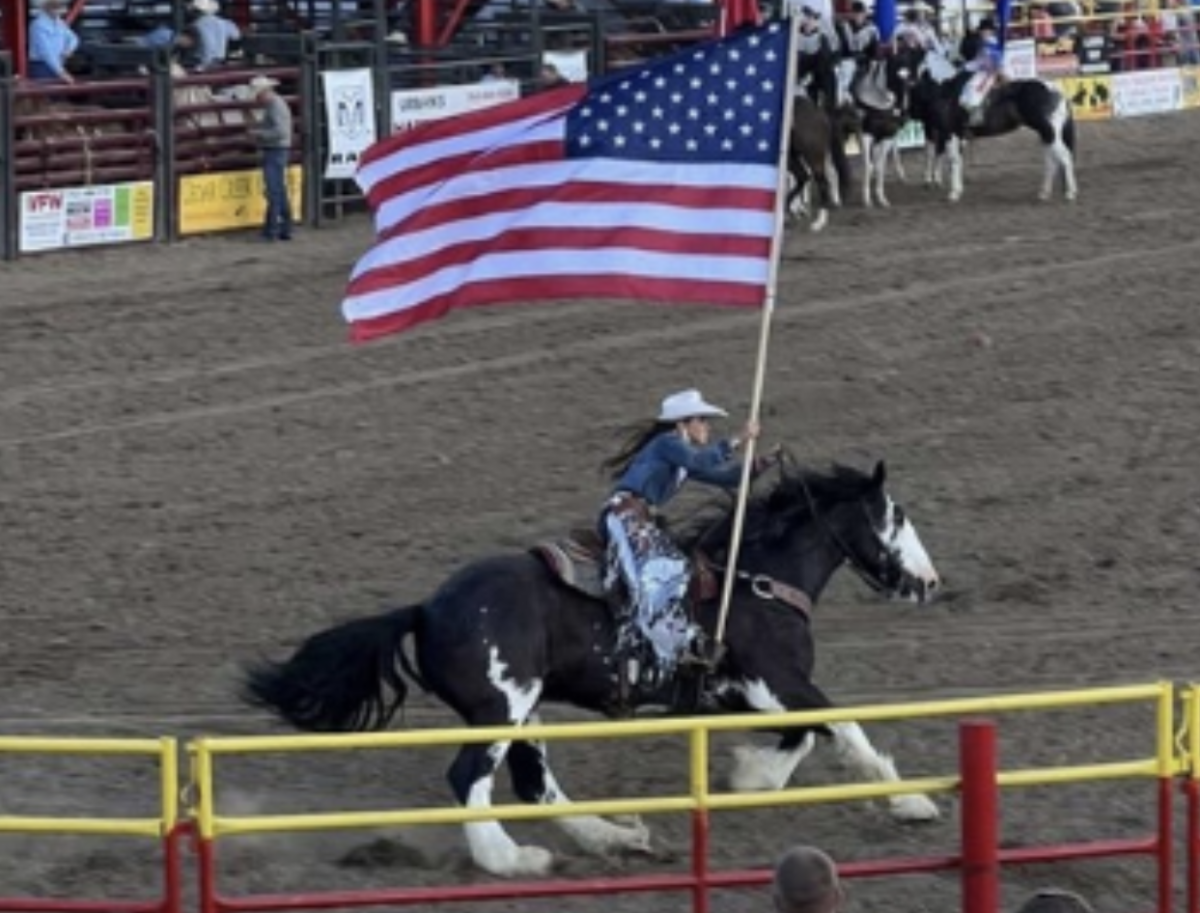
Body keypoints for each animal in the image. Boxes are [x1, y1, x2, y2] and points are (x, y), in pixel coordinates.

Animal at [238, 458, 940, 878]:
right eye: (896, 515)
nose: (929, 583)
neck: (756, 579)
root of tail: (425, 609)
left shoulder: (748, 695)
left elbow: (805, 736)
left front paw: (750, 776)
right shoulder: (778, 683)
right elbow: (842, 726)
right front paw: (911, 801)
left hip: (523, 712)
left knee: (535, 783)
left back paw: (613, 839)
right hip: (501, 709)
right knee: (470, 777)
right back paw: (512, 858)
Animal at [902, 47, 1084, 201]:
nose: (905, 112)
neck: (945, 88)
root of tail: (1056, 91)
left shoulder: (950, 132)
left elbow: (953, 160)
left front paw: (953, 193)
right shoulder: (957, 135)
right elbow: (957, 160)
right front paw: (957, 189)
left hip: (1050, 133)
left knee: (1064, 157)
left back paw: (1070, 193)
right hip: (1046, 134)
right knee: (1052, 161)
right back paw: (1044, 193)